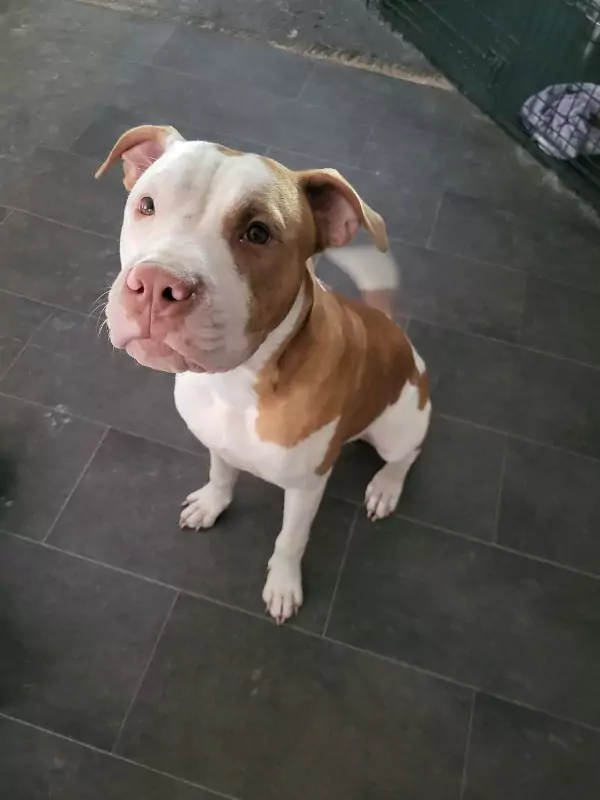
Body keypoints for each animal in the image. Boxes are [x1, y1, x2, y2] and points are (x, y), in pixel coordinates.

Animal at [96, 126, 428, 624]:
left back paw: (386, 487)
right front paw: (212, 504)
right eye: (147, 205)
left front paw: (283, 586)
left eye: (258, 233)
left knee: (406, 456)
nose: (156, 284)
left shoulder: (308, 486)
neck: (237, 384)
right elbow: (221, 475)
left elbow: (290, 540)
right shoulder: (216, 440)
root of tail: (392, 328)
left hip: (400, 425)